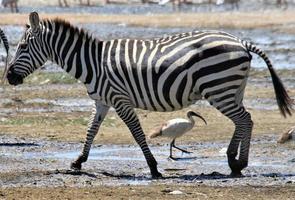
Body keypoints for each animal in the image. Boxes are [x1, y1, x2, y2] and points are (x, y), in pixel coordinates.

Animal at [5, 12, 294, 178]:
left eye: (22, 46)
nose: (8, 77)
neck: (93, 63)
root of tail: (240, 41)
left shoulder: (119, 100)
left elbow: (137, 133)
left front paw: (154, 167)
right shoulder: (102, 101)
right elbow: (91, 131)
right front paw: (78, 161)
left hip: (219, 88)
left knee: (245, 120)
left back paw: (239, 164)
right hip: (232, 89)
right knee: (243, 121)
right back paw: (233, 160)